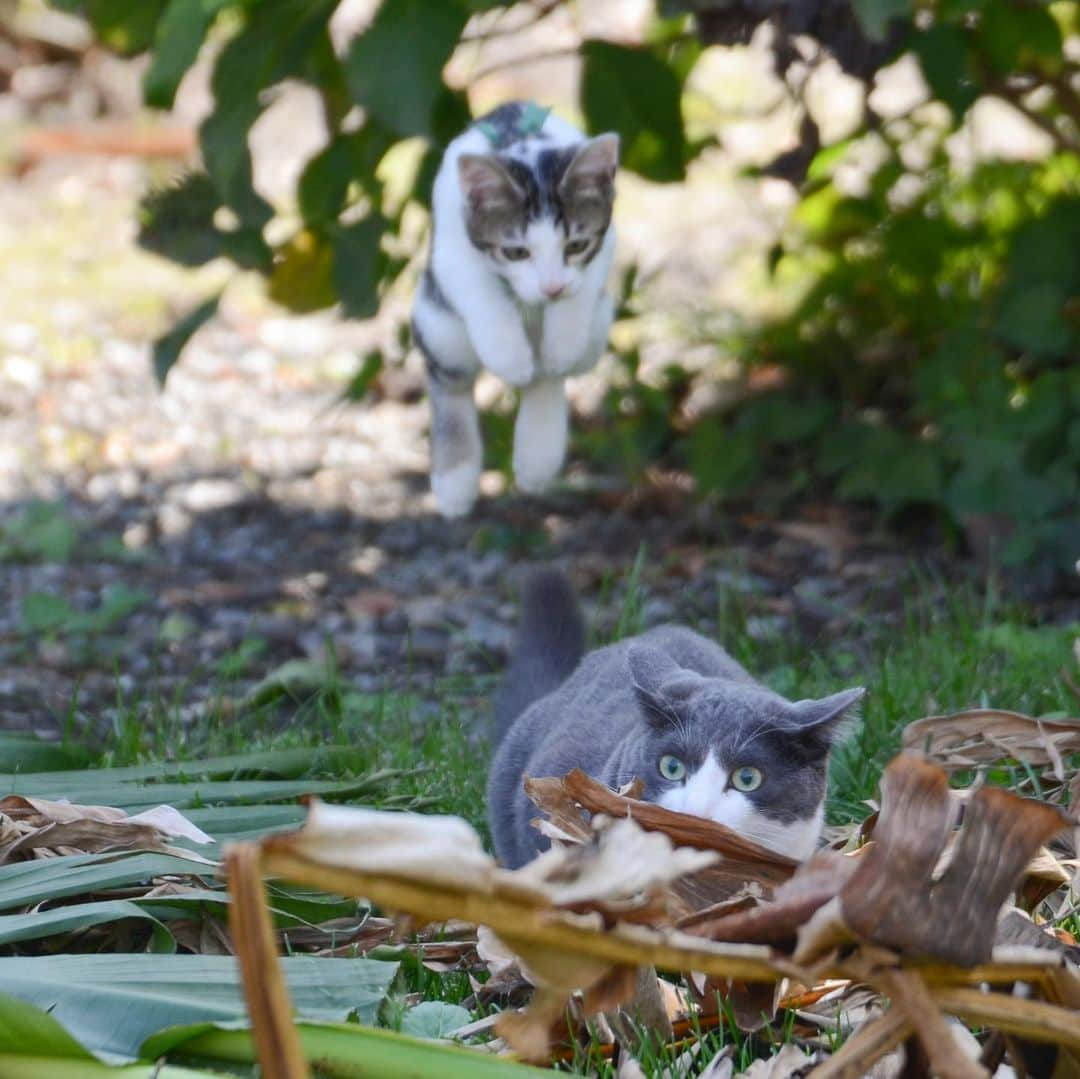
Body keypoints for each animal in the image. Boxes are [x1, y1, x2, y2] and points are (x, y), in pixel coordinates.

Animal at [410, 102, 622, 518]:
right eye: (516, 252)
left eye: (576, 245)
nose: (551, 287)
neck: (526, 149)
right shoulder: (452, 246)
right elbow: (479, 289)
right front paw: (508, 356)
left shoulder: (606, 242)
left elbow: (583, 288)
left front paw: (562, 339)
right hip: (436, 322)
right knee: (449, 382)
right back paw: (455, 480)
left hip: (600, 328)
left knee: (548, 375)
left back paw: (537, 454)